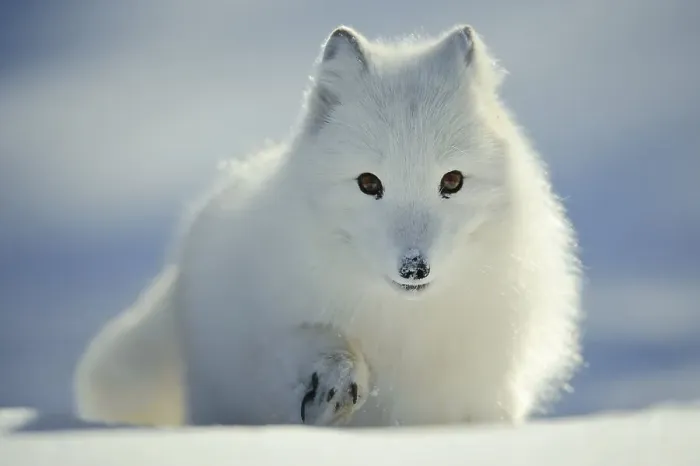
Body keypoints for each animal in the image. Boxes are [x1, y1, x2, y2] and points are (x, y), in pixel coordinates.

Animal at [74, 24, 582, 428]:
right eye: (369, 183)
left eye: (452, 181)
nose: (414, 269)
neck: (403, 326)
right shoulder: (261, 337)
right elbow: (313, 338)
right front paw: (334, 381)